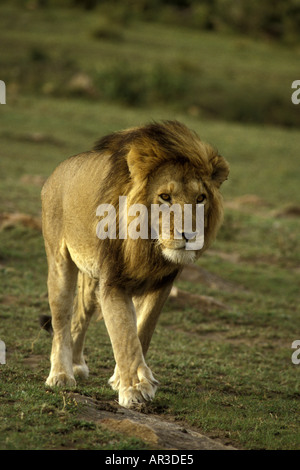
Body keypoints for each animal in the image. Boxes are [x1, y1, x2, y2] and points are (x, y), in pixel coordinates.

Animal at [41, 120, 230, 408]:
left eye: (200, 198)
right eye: (165, 197)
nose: (190, 235)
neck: (149, 248)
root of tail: (57, 170)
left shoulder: (162, 284)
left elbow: (142, 331)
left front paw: (123, 379)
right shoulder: (114, 282)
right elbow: (125, 334)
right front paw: (134, 388)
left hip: (92, 278)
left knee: (81, 315)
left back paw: (76, 365)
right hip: (60, 262)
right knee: (61, 319)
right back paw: (61, 374)